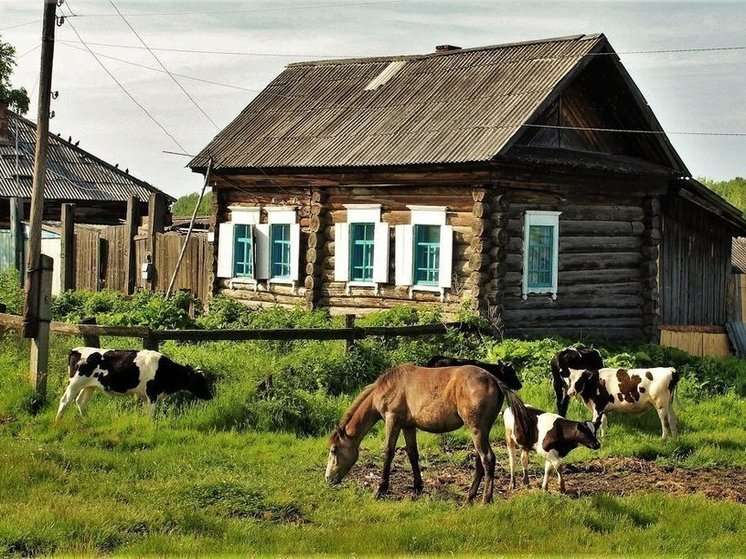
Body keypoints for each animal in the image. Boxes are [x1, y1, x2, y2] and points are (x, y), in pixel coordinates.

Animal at [56, 346, 209, 420]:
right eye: (200, 381)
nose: (210, 396)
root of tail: (76, 349)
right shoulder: (152, 394)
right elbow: (151, 413)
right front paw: (151, 426)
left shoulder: (145, 396)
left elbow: (145, 412)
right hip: (75, 383)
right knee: (65, 401)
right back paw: (58, 422)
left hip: (89, 386)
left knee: (80, 401)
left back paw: (87, 420)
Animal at [326, 364, 536, 504]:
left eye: (334, 450)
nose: (328, 478)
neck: (387, 386)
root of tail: (494, 380)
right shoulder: (408, 426)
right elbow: (412, 454)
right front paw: (417, 489)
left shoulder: (393, 421)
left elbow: (388, 452)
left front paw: (380, 490)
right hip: (482, 430)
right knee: (480, 461)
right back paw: (470, 496)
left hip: (476, 429)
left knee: (488, 459)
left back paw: (486, 499)